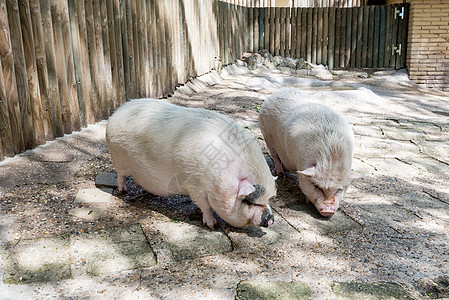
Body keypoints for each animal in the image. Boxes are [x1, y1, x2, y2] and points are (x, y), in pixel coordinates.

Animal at [107, 99, 274, 229]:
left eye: (267, 200)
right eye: (248, 201)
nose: (271, 219)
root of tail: (115, 114)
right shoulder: (194, 186)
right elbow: (205, 206)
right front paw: (212, 226)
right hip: (118, 158)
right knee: (120, 176)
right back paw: (123, 192)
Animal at [258, 88, 358, 217]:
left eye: (339, 189)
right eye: (317, 187)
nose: (328, 210)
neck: (330, 158)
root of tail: (277, 93)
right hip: (267, 136)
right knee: (275, 156)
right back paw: (280, 173)